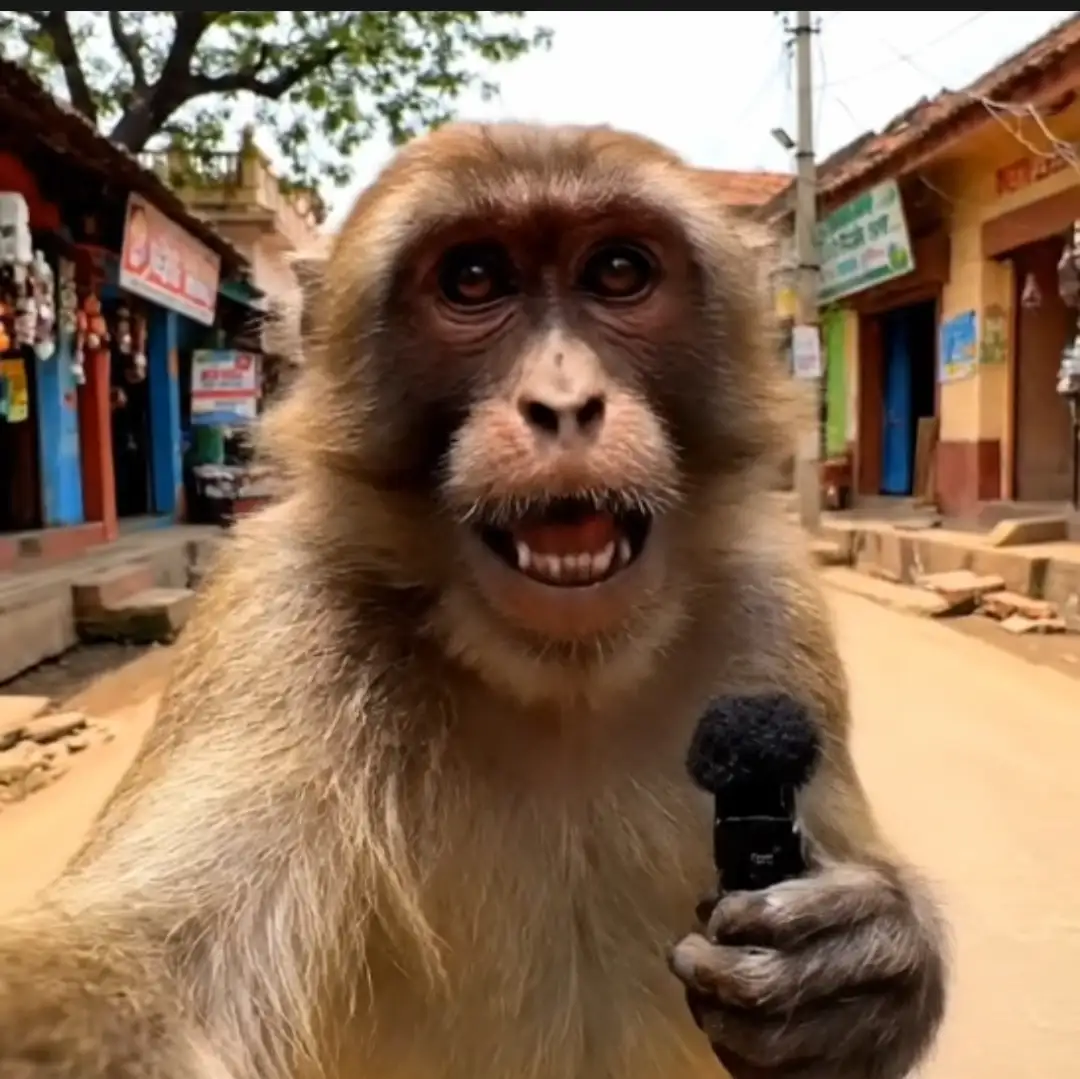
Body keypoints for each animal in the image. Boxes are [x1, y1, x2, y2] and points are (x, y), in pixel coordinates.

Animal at [0, 122, 947, 1079]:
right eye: (474, 279)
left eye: (618, 271)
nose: (564, 402)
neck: (563, 682)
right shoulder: (278, 616)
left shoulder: (772, 611)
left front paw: (861, 973)